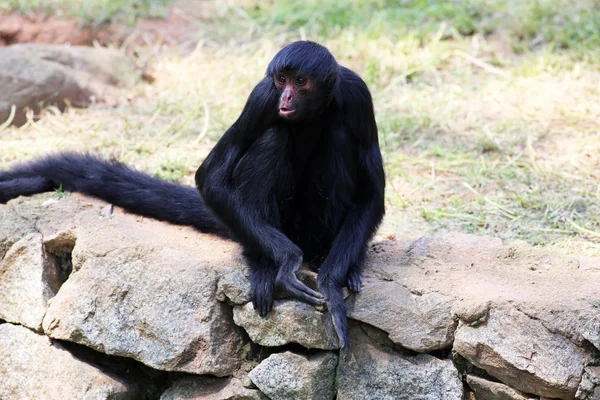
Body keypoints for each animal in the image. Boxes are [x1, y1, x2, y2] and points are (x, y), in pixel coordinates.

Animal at [0, 39, 384, 346]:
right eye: (281, 80)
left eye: (300, 81)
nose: (287, 96)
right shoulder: (263, 97)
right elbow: (211, 176)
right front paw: (288, 262)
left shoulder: (357, 95)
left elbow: (372, 194)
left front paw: (331, 285)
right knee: (274, 135)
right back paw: (262, 263)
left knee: (339, 135)